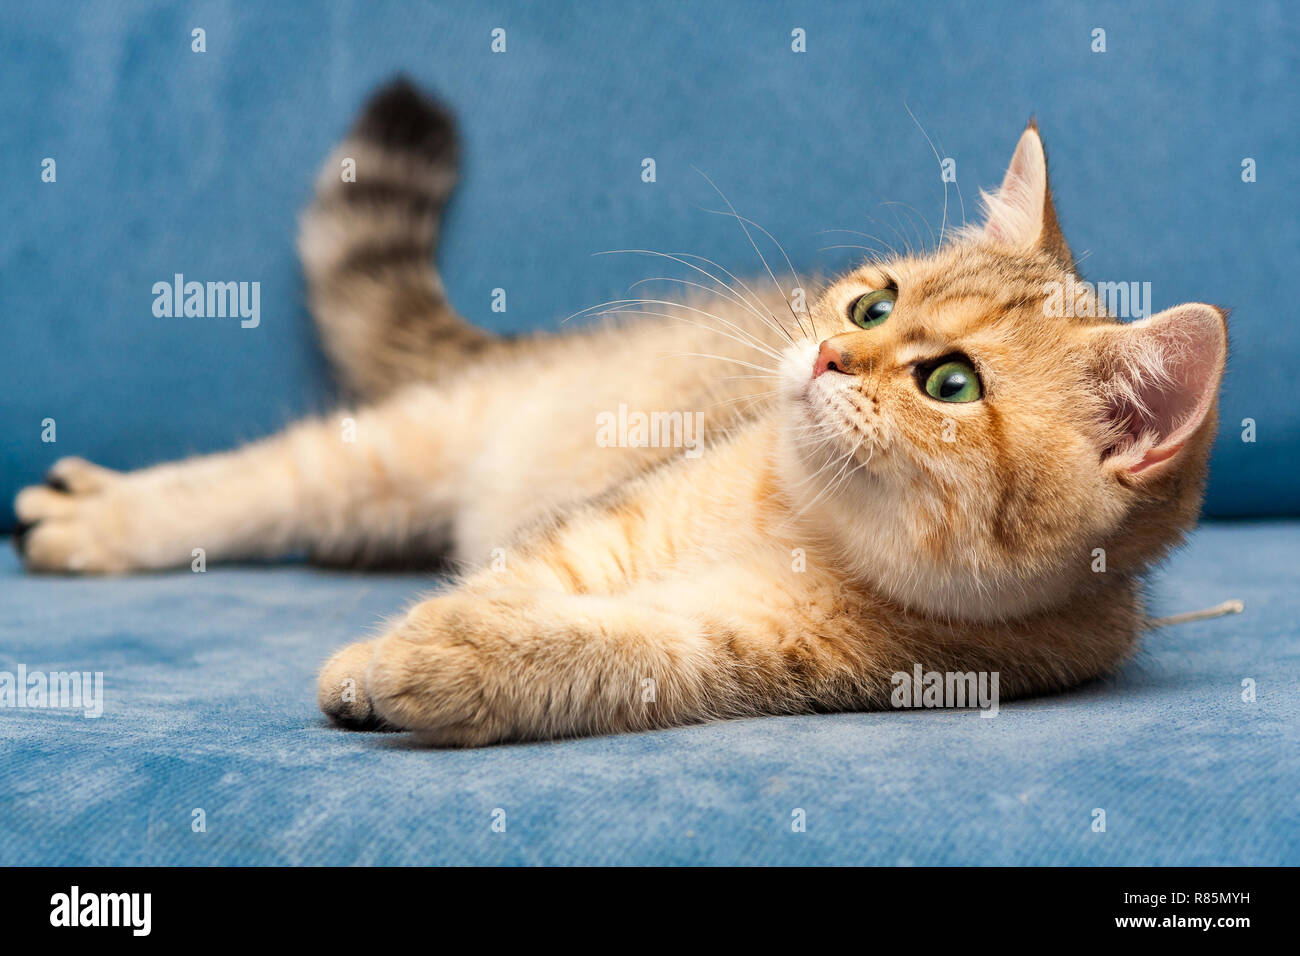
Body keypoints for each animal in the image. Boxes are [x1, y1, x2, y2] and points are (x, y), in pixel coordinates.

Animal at [12, 82, 1227, 749]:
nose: (829, 349)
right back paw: (92, 516)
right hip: (408, 445)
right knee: (256, 483)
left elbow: (595, 646)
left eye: (952, 385)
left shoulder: (753, 650)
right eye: (873, 302)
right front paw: (387, 650)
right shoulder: (601, 526)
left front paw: (445, 666)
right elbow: (509, 586)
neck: (800, 528)